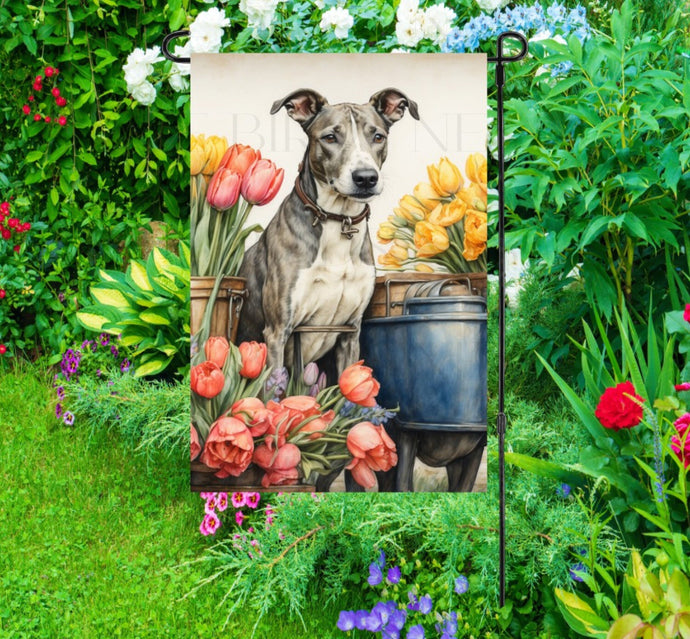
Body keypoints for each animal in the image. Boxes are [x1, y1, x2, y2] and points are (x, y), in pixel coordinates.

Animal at [236, 87, 420, 372]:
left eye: (378, 136)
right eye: (330, 137)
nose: (366, 178)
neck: (339, 219)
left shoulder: (350, 333)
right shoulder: (277, 331)